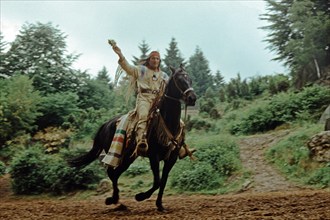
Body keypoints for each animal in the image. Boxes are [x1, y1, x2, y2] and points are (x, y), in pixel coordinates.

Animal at [67, 64, 196, 211]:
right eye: (179, 79)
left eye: (190, 79)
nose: (192, 98)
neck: (168, 122)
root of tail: (106, 124)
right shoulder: (154, 156)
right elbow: (157, 181)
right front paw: (140, 196)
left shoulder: (172, 158)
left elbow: (163, 181)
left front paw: (160, 205)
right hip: (117, 153)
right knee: (111, 172)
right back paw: (113, 199)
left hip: (128, 157)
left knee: (115, 173)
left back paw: (116, 201)